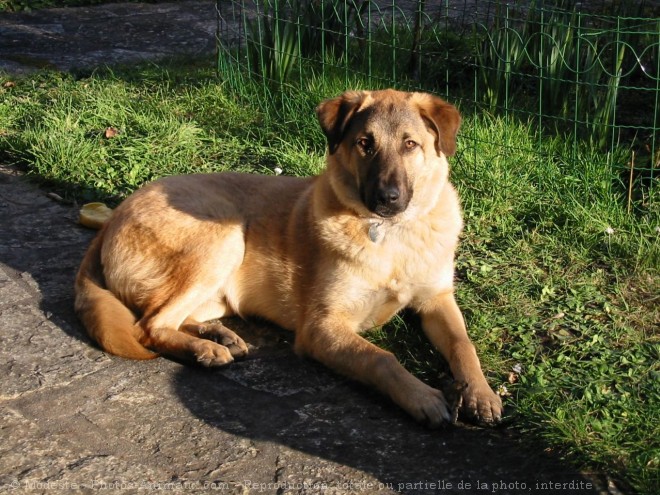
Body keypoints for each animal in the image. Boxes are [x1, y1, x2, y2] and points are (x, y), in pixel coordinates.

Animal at [75, 89, 502, 426]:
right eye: (365, 143)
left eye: (411, 144)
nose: (387, 199)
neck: (393, 235)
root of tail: (114, 216)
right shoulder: (321, 327)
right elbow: (381, 358)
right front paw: (423, 396)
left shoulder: (436, 300)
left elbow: (463, 343)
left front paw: (480, 392)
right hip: (223, 237)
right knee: (149, 325)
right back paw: (204, 349)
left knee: (171, 316)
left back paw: (218, 335)